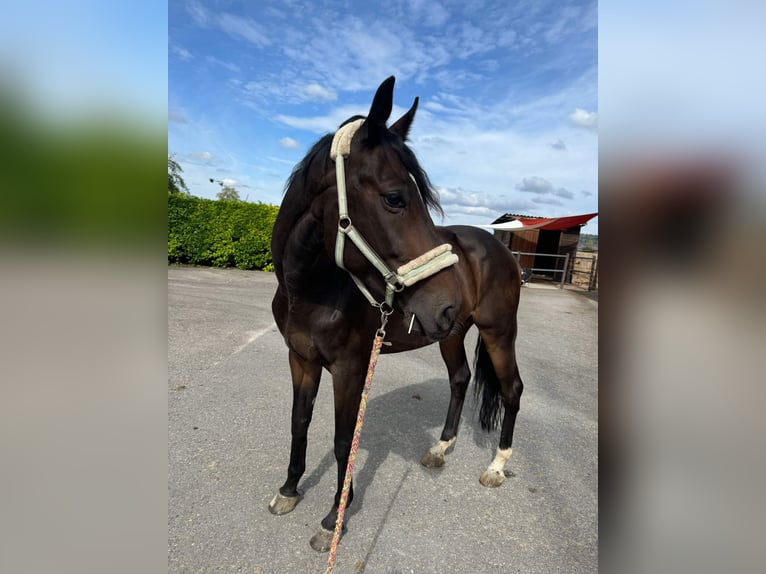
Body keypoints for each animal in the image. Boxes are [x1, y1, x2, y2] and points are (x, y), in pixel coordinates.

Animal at [268, 76, 524, 552]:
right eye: (394, 197)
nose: (444, 301)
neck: (308, 290)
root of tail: (499, 247)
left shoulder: (350, 368)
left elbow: (343, 440)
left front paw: (334, 518)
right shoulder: (300, 359)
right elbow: (299, 424)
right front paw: (289, 490)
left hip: (498, 332)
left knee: (512, 389)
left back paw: (496, 467)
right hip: (450, 334)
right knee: (460, 379)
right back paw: (441, 449)